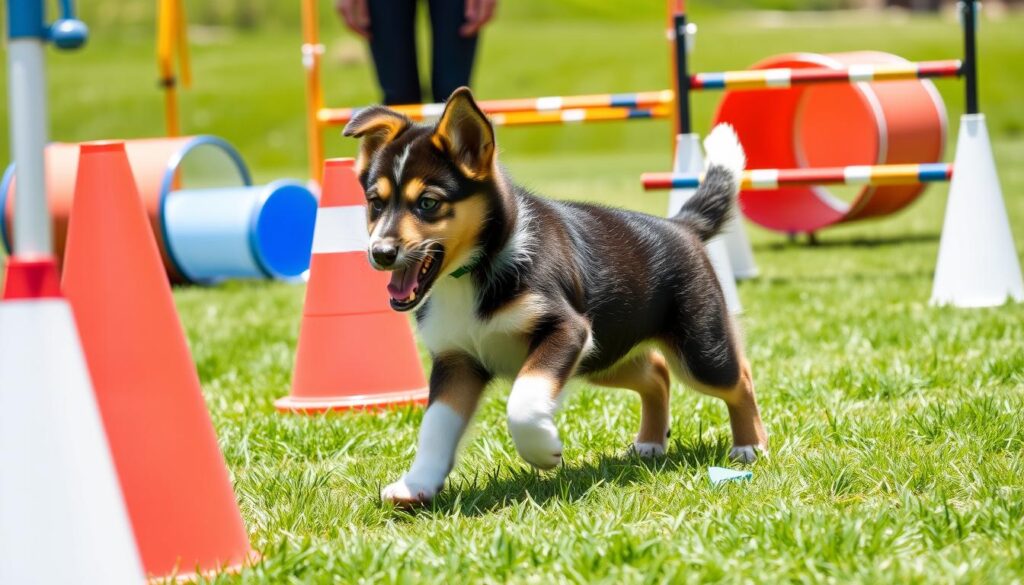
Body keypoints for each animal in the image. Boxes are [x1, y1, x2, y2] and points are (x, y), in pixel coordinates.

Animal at [344, 88, 770, 508]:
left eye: (428, 203)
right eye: (375, 203)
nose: (381, 253)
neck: (475, 272)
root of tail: (682, 226)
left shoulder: (566, 328)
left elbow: (524, 401)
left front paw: (543, 449)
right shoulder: (457, 359)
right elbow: (435, 425)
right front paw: (416, 484)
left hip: (697, 350)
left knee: (739, 376)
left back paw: (750, 446)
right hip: (605, 354)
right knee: (656, 373)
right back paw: (650, 442)